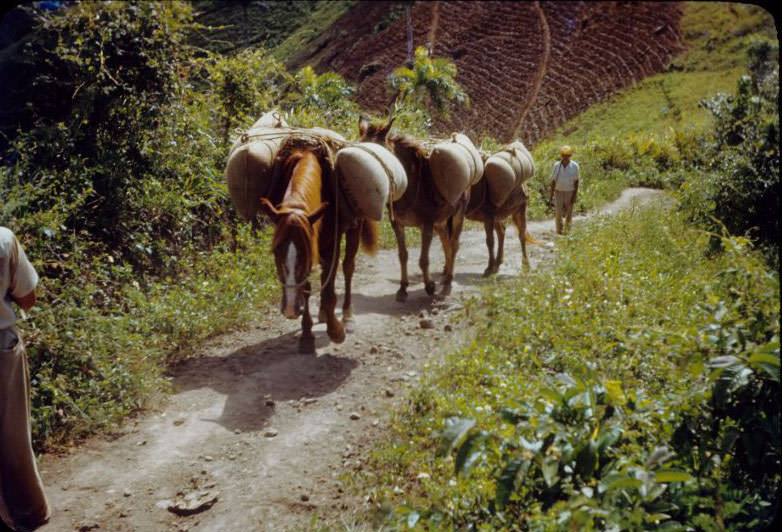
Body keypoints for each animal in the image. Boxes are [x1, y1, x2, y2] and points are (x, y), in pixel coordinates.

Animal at [260, 145, 380, 354]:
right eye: (276, 252)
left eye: (306, 251)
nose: (290, 309)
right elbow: (308, 288)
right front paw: (307, 336)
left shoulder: (330, 245)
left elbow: (330, 290)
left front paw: (336, 331)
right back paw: (323, 313)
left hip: (354, 229)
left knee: (348, 268)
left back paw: (347, 316)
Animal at [360, 117, 468, 300]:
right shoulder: (397, 224)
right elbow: (403, 255)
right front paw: (403, 288)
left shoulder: (427, 223)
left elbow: (423, 260)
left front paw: (429, 286)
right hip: (440, 222)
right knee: (446, 242)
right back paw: (446, 273)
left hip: (457, 214)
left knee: (454, 244)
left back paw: (448, 280)